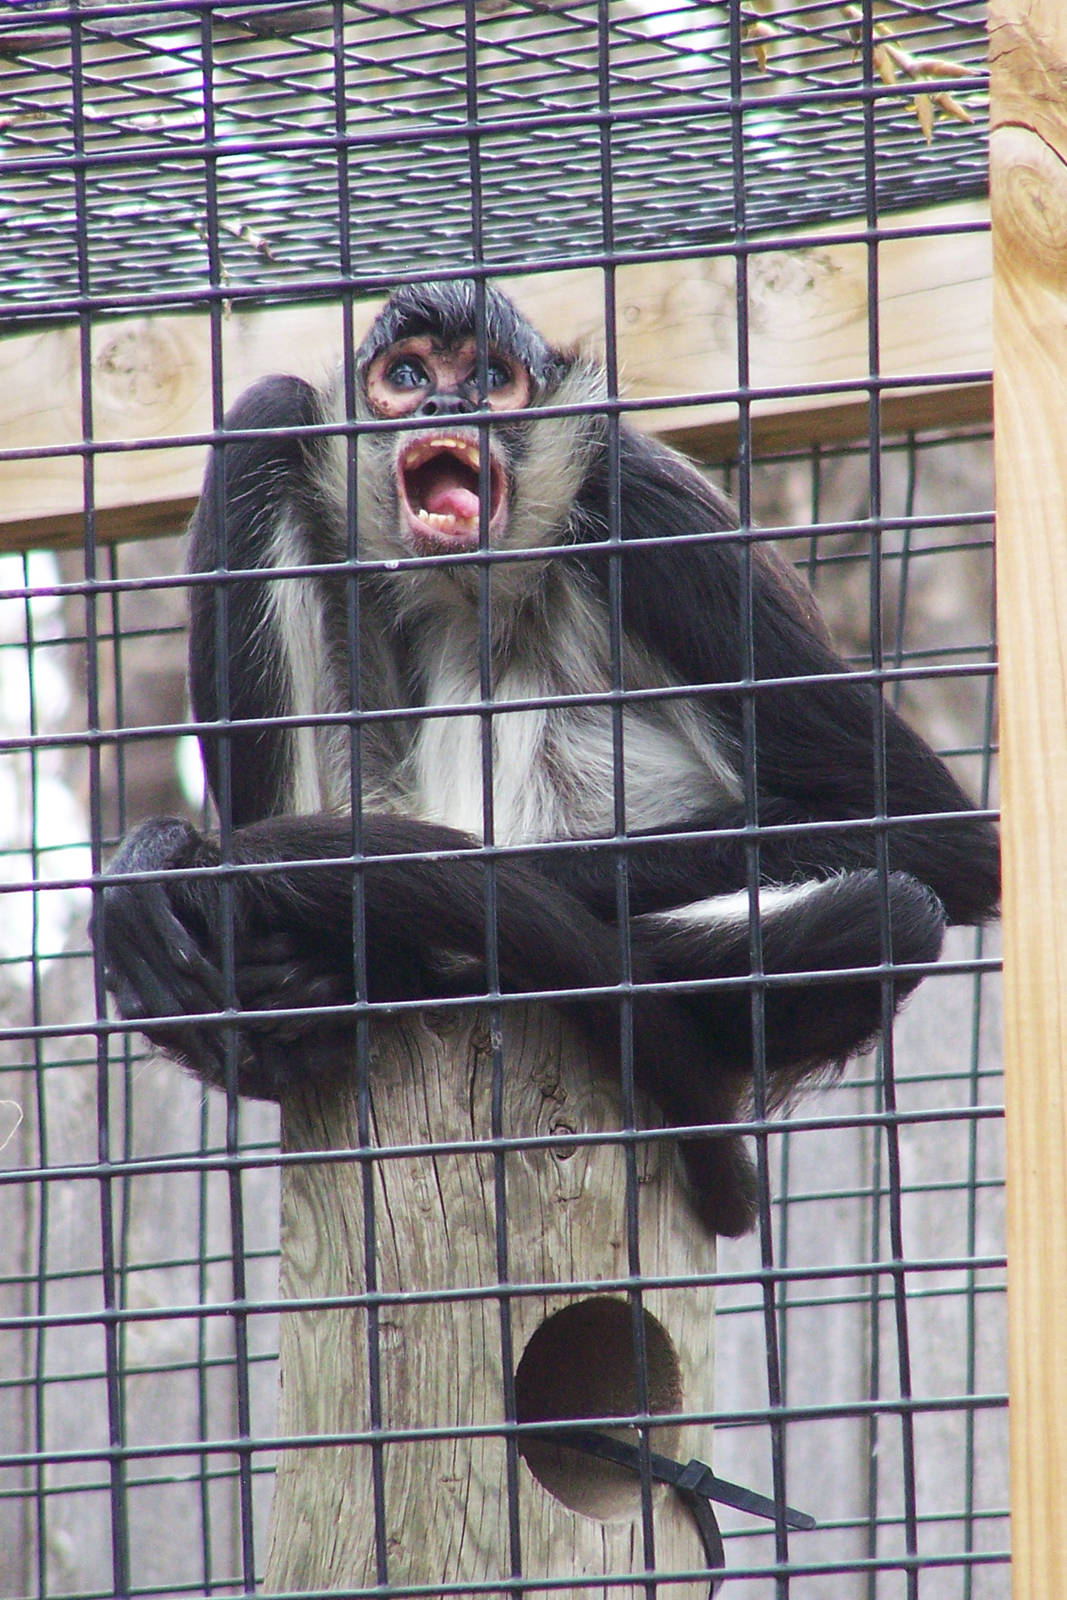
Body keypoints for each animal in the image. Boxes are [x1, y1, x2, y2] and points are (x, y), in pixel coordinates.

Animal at [97, 279, 1000, 1237]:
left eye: (492, 379)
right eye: (406, 377)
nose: (445, 406)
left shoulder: (640, 507)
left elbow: (936, 836)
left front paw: (266, 896)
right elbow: (264, 419)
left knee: (888, 914)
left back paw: (347, 971)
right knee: (265, 416)